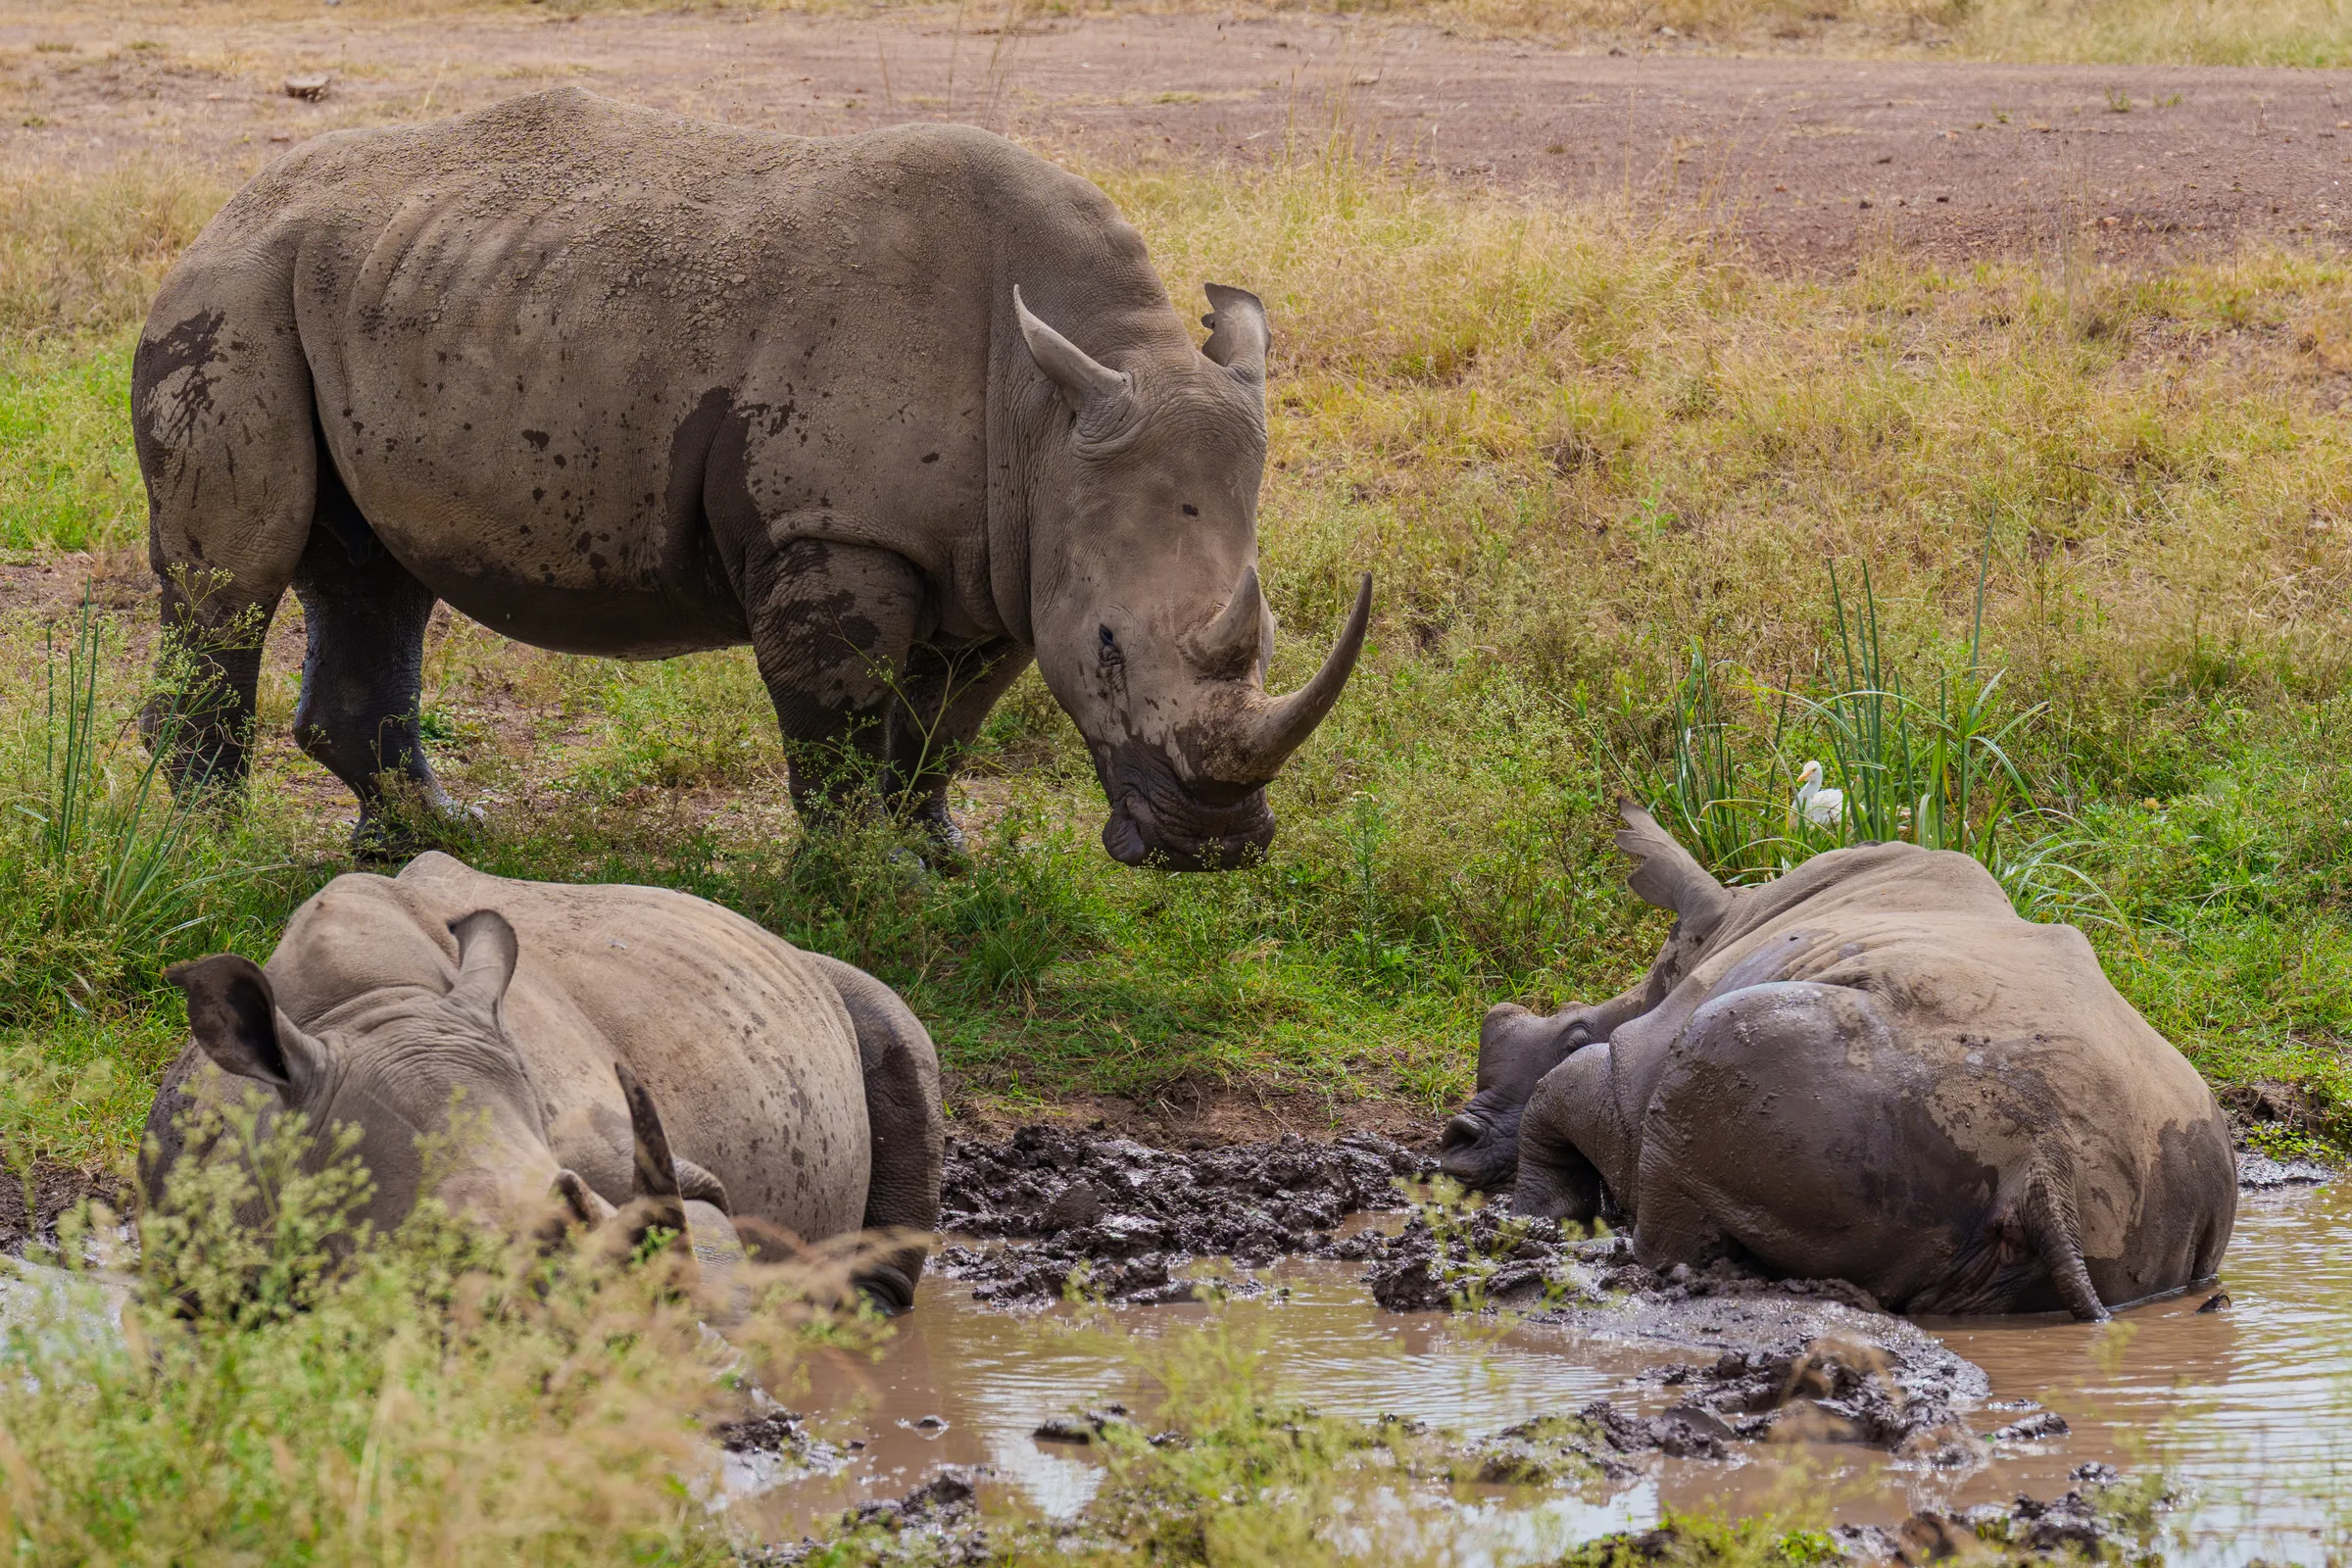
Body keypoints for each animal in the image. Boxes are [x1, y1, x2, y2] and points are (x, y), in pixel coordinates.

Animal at [129, 87, 1369, 869]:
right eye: (1112, 649)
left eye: (1268, 642)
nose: (1210, 851)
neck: (1050, 403)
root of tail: (230, 200)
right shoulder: (833, 526)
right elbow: (837, 713)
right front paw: (861, 880)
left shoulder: (1012, 554)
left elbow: (945, 723)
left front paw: (940, 858)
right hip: (234, 289)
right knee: (236, 579)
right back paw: (214, 853)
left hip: (375, 283)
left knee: (378, 576)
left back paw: (436, 835)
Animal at [1439, 803, 2235, 1321]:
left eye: (1571, 1029)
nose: (1455, 1144)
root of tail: (2041, 1171)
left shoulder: (1625, 1065)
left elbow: (1562, 1091)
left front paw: (1530, 1217)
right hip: (2166, 1172)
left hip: (1831, 1090)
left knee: (1676, 1141)